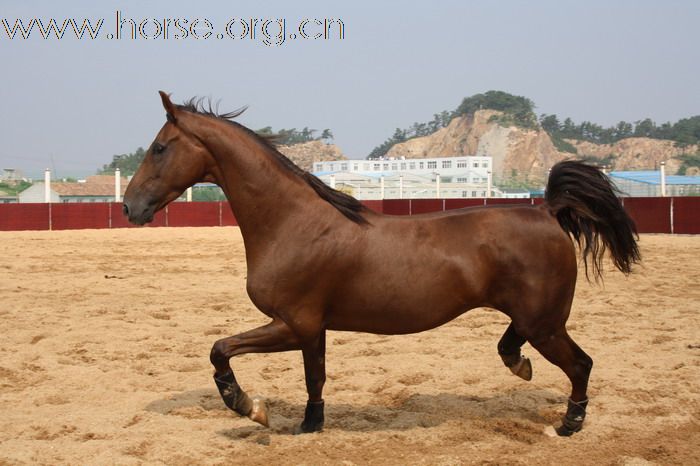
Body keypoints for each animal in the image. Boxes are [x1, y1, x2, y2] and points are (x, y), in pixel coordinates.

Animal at [121, 93, 640, 436]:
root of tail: (547, 209)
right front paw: (309, 426)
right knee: (517, 344)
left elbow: (220, 349)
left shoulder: (292, 323)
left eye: (160, 147)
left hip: (545, 322)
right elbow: (315, 377)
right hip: (535, 318)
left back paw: (569, 424)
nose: (130, 207)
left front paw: (249, 407)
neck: (293, 223)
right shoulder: (312, 329)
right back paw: (521, 366)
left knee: (581, 364)